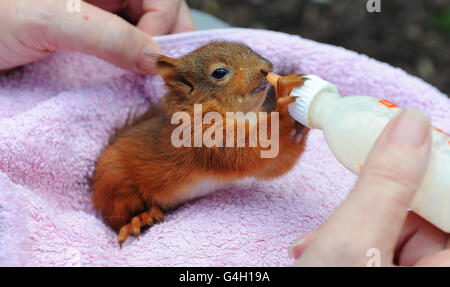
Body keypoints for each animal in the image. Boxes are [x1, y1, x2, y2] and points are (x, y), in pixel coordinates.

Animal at [91, 41, 310, 249]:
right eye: (219, 73)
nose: (266, 68)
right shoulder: (199, 137)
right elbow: (244, 151)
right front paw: (283, 109)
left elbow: (275, 162)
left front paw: (299, 120)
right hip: (115, 182)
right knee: (117, 217)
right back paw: (140, 218)